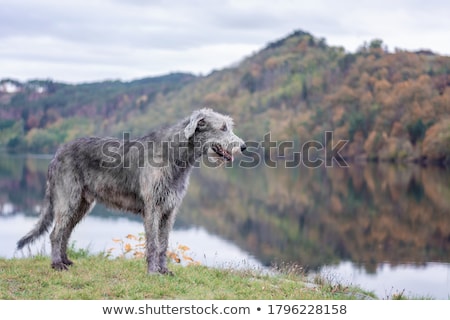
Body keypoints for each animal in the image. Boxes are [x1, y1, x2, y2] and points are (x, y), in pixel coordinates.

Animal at [16, 109, 246, 274]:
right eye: (222, 127)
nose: (243, 146)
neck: (174, 155)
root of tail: (56, 153)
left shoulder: (169, 210)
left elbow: (164, 243)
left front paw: (164, 270)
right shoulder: (153, 207)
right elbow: (153, 243)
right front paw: (153, 272)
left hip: (81, 204)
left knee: (65, 232)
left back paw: (65, 260)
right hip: (68, 199)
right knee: (56, 233)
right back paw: (57, 265)